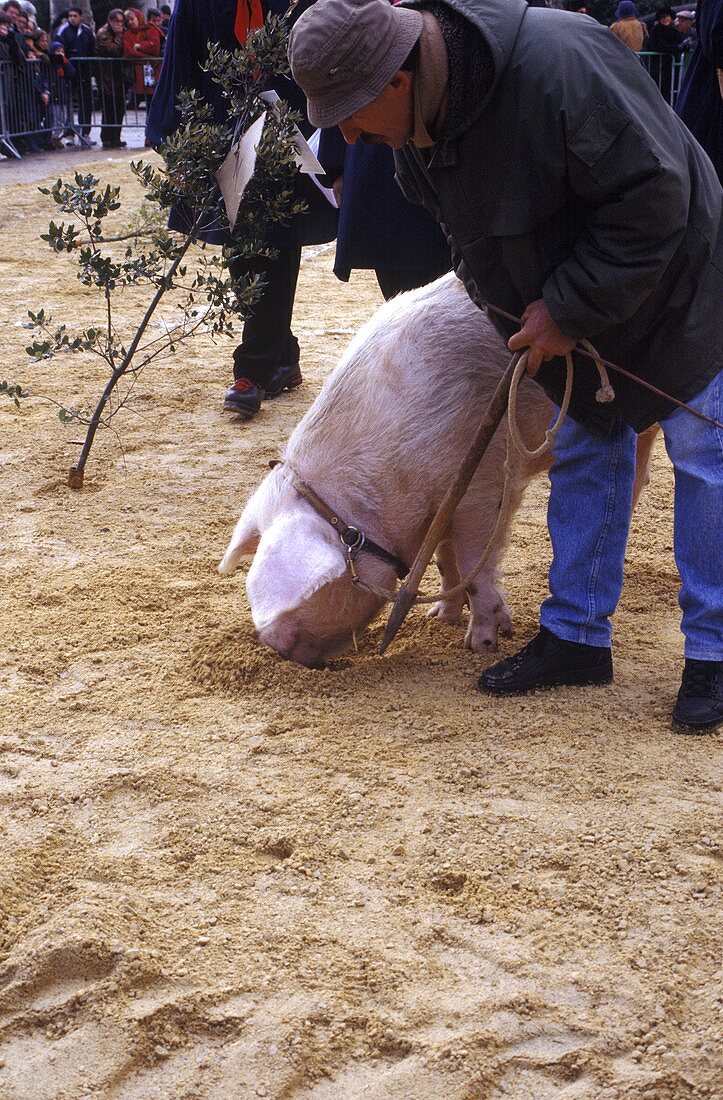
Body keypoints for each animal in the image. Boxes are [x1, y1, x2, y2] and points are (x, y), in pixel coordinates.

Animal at [218, 275, 655, 668]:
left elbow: (478, 562)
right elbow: (447, 560)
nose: (270, 642)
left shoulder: (484, 482)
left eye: (314, 590)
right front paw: (440, 618)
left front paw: (482, 645)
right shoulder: (444, 501)